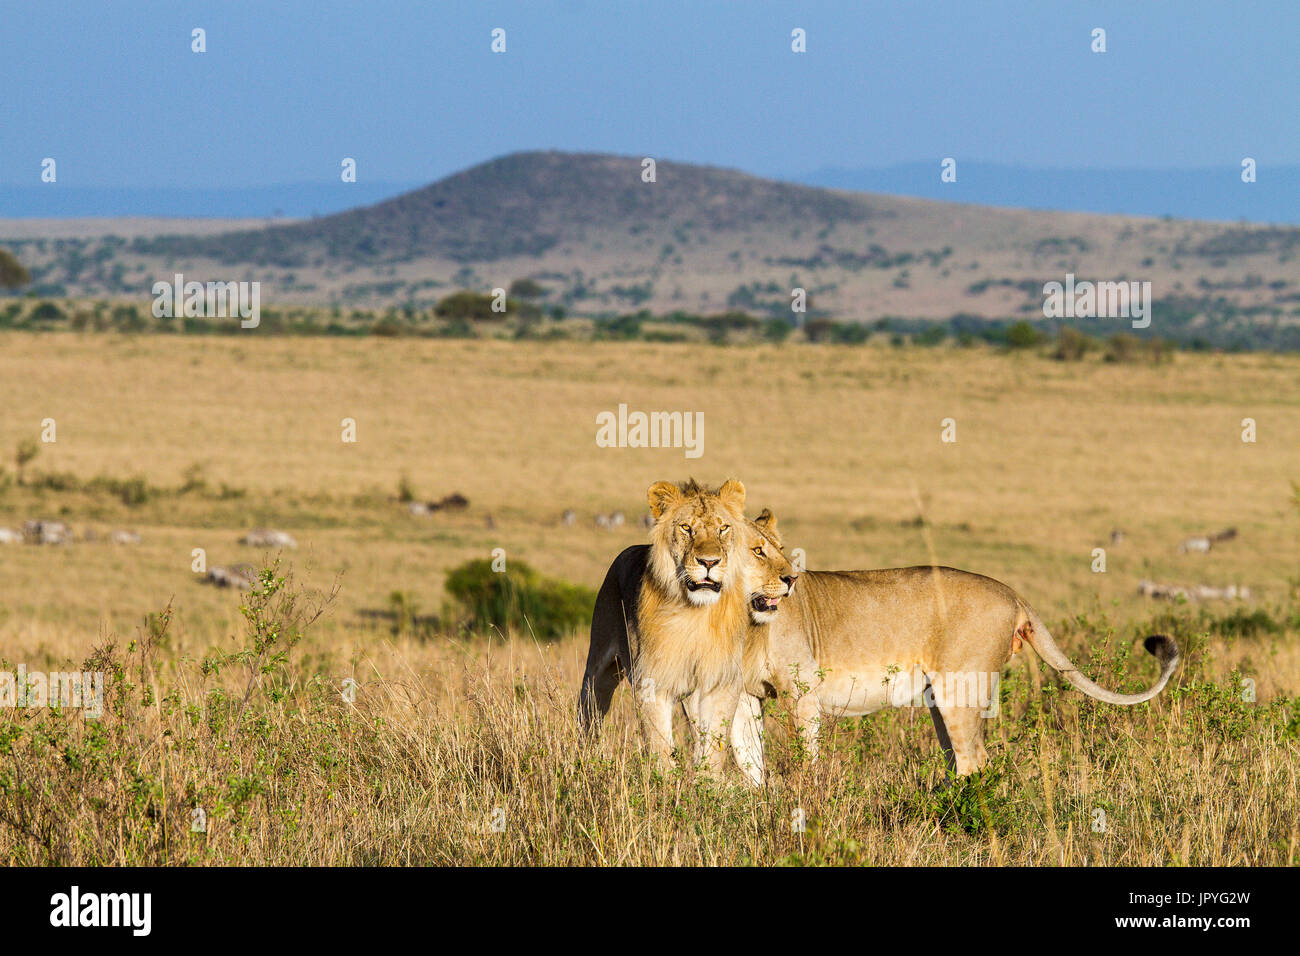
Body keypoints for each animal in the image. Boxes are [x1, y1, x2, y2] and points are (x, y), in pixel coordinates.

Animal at [578, 481, 793, 773]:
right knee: (590, 715)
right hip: (598, 668)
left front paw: (707, 784)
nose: (709, 562)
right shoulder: (652, 684)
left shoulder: (719, 684)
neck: (696, 615)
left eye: (723, 528)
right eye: (686, 528)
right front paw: (665, 783)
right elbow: (660, 749)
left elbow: (712, 750)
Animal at [727, 534, 1181, 786]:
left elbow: (805, 758)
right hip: (940, 699)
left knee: (974, 761)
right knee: (960, 759)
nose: (789, 579)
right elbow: (748, 762)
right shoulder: (746, 695)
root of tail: (1012, 593)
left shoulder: (802, 693)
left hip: (960, 690)